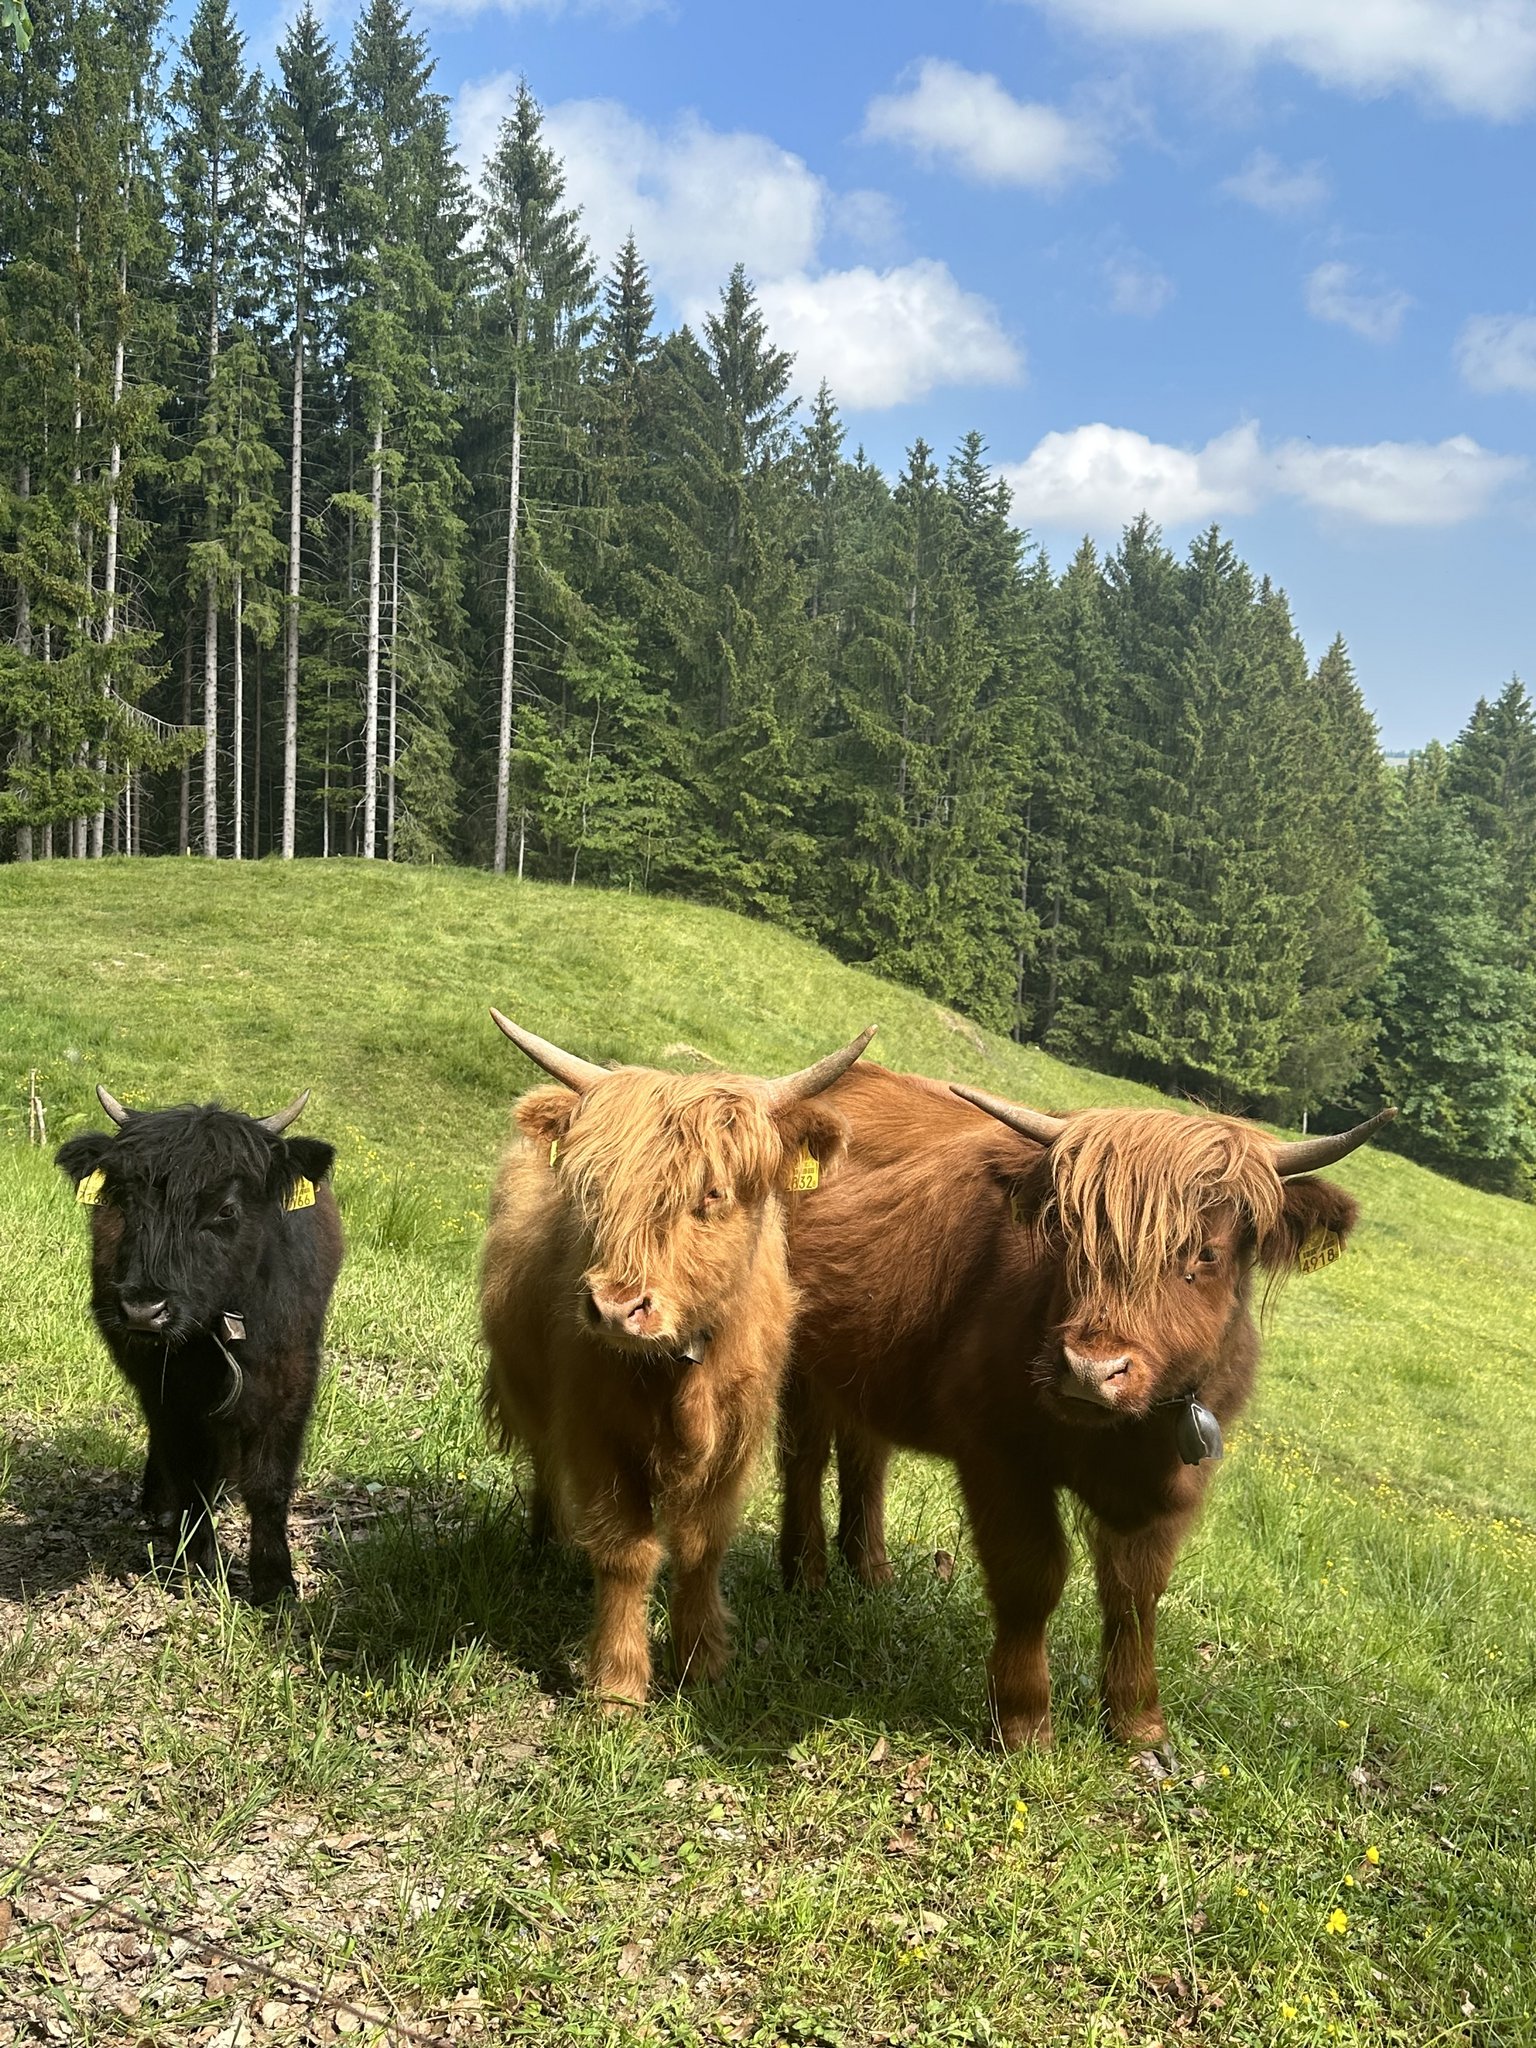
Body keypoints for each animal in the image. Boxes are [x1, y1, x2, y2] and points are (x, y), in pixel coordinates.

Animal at [55, 1086, 343, 1603]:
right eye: (125, 1199)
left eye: (225, 1210)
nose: (143, 1309)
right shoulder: (171, 1395)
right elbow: (191, 1476)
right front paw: (197, 1563)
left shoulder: (289, 1384)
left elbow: (268, 1483)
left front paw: (275, 1582)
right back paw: (157, 1504)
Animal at [480, 1014, 876, 1709]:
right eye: (593, 1188)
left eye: (712, 1192)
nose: (615, 1308)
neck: (678, 1371)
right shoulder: (596, 1430)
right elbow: (626, 1551)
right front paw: (618, 1688)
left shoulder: (738, 1436)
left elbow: (700, 1549)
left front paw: (703, 1667)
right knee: (545, 1463)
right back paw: (548, 1541)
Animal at [779, 1063, 1393, 1750]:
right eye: (1069, 1238)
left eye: (1204, 1253)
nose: (1090, 1372)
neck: (1124, 1436)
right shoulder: (996, 1450)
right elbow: (1031, 1574)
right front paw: (1023, 1723)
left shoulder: (1178, 1480)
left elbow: (1135, 1592)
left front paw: (1138, 1723)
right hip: (799, 1361)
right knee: (804, 1459)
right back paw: (805, 1577)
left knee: (866, 1455)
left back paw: (871, 1572)